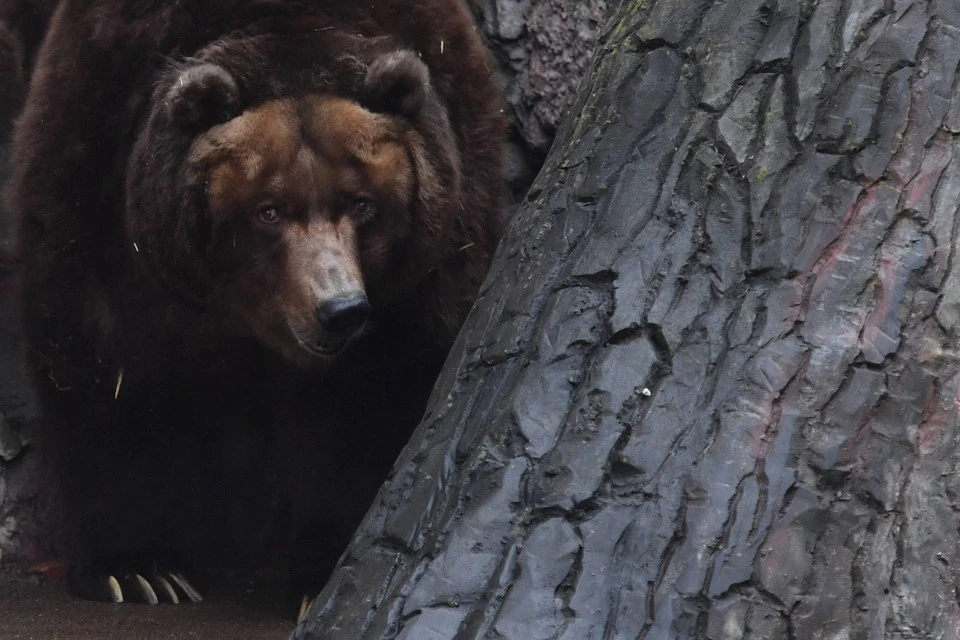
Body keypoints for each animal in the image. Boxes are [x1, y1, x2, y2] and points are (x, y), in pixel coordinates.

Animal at [9, 0, 502, 604]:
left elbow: (383, 388)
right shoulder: (101, 158)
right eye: (268, 210)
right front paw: (140, 570)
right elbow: (106, 362)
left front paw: (328, 555)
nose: (339, 309)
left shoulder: (432, 246)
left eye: (361, 202)